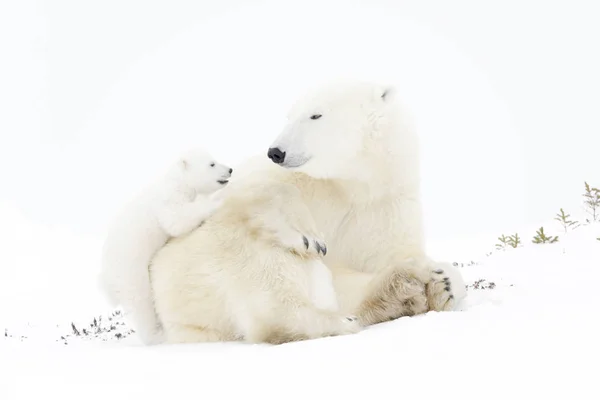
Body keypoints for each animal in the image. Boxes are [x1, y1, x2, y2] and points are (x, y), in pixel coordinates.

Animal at [98, 148, 232, 346]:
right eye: (212, 164)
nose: (230, 169)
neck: (178, 179)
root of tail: (105, 279)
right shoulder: (169, 199)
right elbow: (175, 220)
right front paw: (215, 202)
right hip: (129, 271)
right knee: (141, 303)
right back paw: (156, 335)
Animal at [148, 80, 466, 344]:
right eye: (289, 116)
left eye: (315, 115)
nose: (276, 151)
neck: (349, 186)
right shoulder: (296, 184)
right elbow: (261, 194)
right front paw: (305, 234)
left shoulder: (385, 206)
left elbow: (384, 258)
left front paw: (441, 283)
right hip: (201, 267)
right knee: (267, 271)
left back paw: (404, 289)